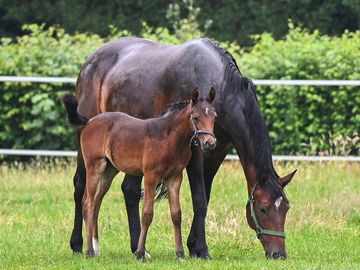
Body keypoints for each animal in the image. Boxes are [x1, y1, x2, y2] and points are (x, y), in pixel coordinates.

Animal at [60, 87, 217, 260]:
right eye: (195, 117)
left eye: (214, 116)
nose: (210, 143)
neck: (168, 137)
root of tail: (89, 121)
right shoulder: (151, 176)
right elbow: (147, 213)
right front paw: (141, 253)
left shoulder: (174, 178)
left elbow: (176, 214)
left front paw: (180, 254)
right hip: (95, 167)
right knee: (88, 203)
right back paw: (89, 251)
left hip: (109, 171)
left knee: (96, 203)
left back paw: (96, 249)